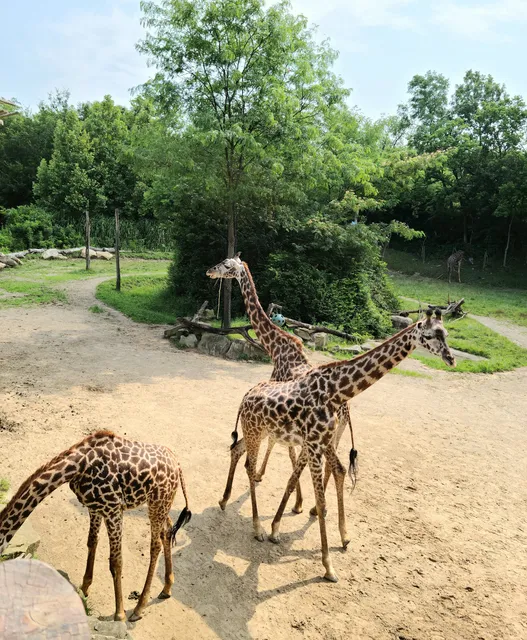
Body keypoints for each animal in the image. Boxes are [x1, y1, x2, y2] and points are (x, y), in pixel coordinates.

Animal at [0, 431, 191, 623]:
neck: (78, 467)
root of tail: (178, 465)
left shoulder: (113, 509)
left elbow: (116, 561)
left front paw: (119, 614)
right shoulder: (94, 507)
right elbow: (92, 542)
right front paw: (84, 589)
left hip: (157, 502)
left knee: (155, 545)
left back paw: (139, 608)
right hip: (161, 504)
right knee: (167, 531)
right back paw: (166, 588)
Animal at [206, 254, 356, 516]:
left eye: (226, 265)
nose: (210, 271)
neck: (276, 348)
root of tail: (346, 409)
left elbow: (281, 446)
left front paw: (290, 497)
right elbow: (279, 444)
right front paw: (290, 495)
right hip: (336, 434)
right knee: (330, 465)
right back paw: (318, 509)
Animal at [226, 309, 455, 583]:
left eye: (446, 333)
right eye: (429, 335)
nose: (450, 358)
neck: (336, 391)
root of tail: (245, 397)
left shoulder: (319, 442)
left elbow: (324, 477)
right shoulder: (313, 444)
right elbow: (319, 497)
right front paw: (328, 566)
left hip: (260, 432)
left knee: (238, 451)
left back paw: (226, 502)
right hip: (256, 431)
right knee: (248, 463)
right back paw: (257, 526)